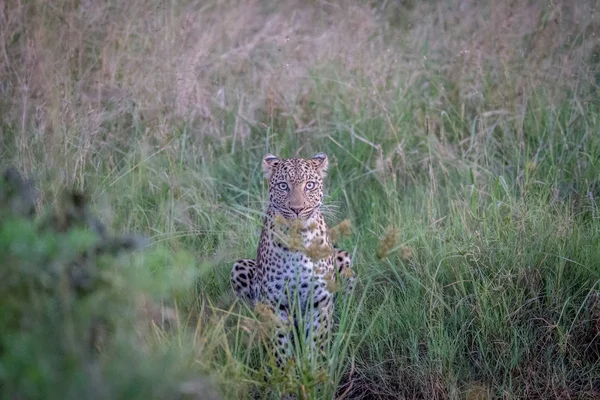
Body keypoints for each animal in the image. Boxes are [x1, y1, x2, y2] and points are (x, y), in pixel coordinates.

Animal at [229, 152, 352, 366]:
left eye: (309, 185)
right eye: (283, 186)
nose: (297, 208)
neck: (298, 242)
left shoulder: (319, 301)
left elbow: (316, 342)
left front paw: (313, 368)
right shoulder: (275, 303)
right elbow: (280, 347)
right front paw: (286, 372)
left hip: (343, 259)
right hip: (240, 267)